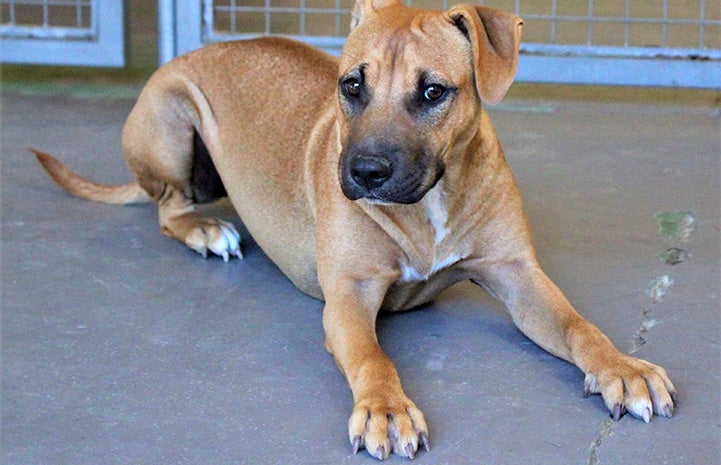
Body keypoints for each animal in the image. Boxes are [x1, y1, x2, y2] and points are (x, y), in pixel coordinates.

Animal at [33, 0, 676, 456]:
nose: (364, 173)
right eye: (351, 85)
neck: (430, 201)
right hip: (171, 121)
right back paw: (207, 232)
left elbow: (579, 326)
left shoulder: (519, 276)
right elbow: (372, 357)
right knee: (168, 207)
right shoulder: (348, 294)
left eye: (433, 90)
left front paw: (624, 368)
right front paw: (386, 410)